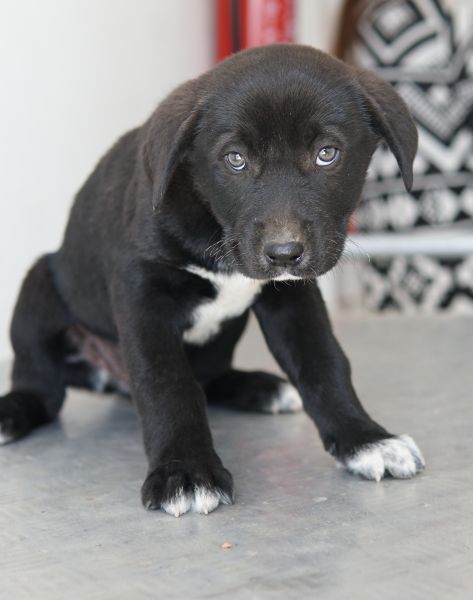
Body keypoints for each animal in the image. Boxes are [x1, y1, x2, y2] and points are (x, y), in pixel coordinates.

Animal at [0, 44, 425, 516]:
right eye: (234, 159)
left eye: (327, 153)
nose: (284, 252)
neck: (215, 226)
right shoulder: (141, 291)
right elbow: (167, 383)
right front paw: (185, 471)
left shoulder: (294, 296)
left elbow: (323, 361)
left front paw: (365, 439)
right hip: (38, 287)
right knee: (42, 389)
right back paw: (11, 412)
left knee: (210, 376)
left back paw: (261, 388)